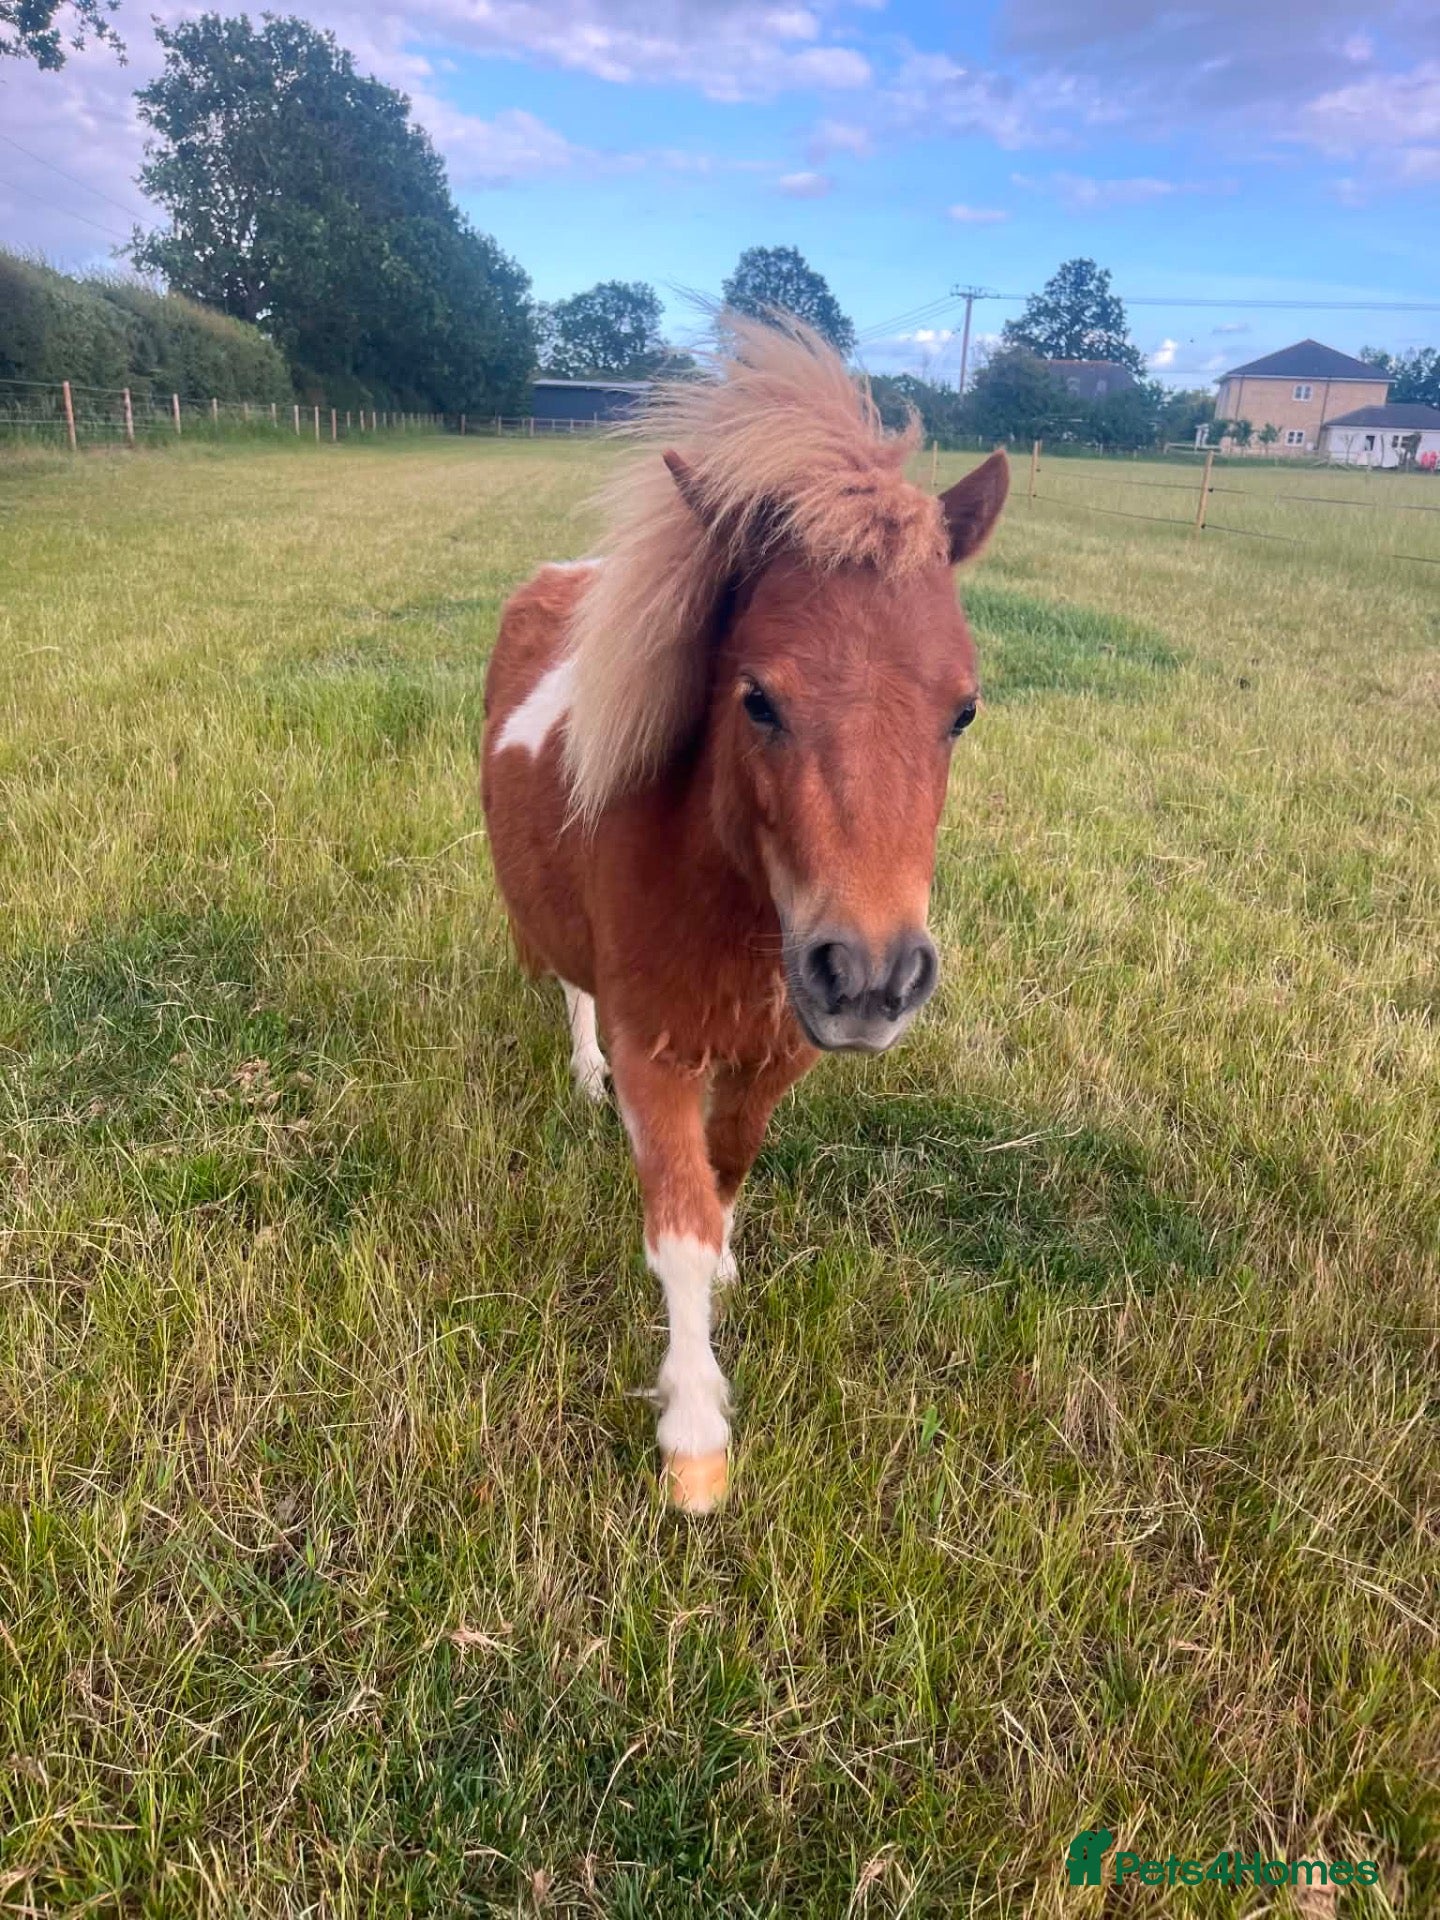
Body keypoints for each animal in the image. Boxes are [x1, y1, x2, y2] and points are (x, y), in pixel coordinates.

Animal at [481, 316, 1008, 1513]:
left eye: (963, 711)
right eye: (758, 698)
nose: (870, 977)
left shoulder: (777, 1054)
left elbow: (725, 1174)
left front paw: (725, 1260)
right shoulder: (656, 1048)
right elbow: (673, 1223)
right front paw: (694, 1441)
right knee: (572, 991)